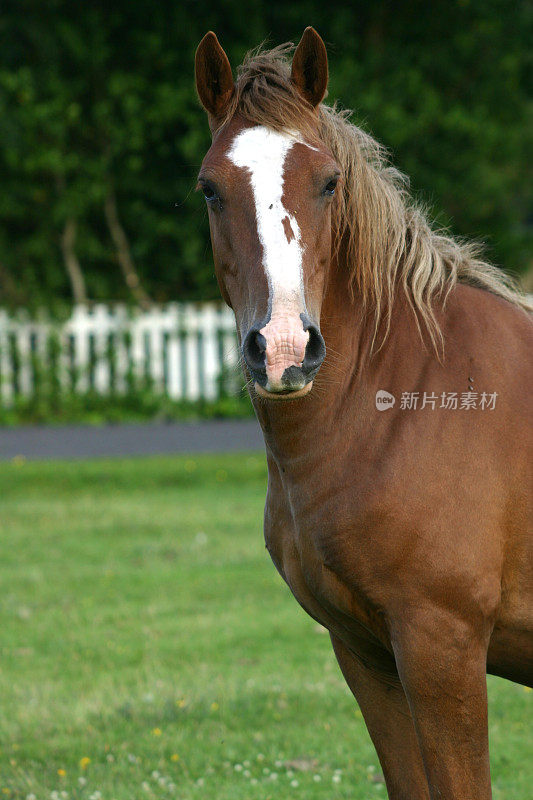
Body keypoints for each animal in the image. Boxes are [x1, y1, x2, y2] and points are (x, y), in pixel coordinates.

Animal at [194, 28, 532, 796]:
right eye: (209, 188)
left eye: (328, 183)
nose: (282, 349)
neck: (407, 400)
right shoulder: (364, 653)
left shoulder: (441, 648)